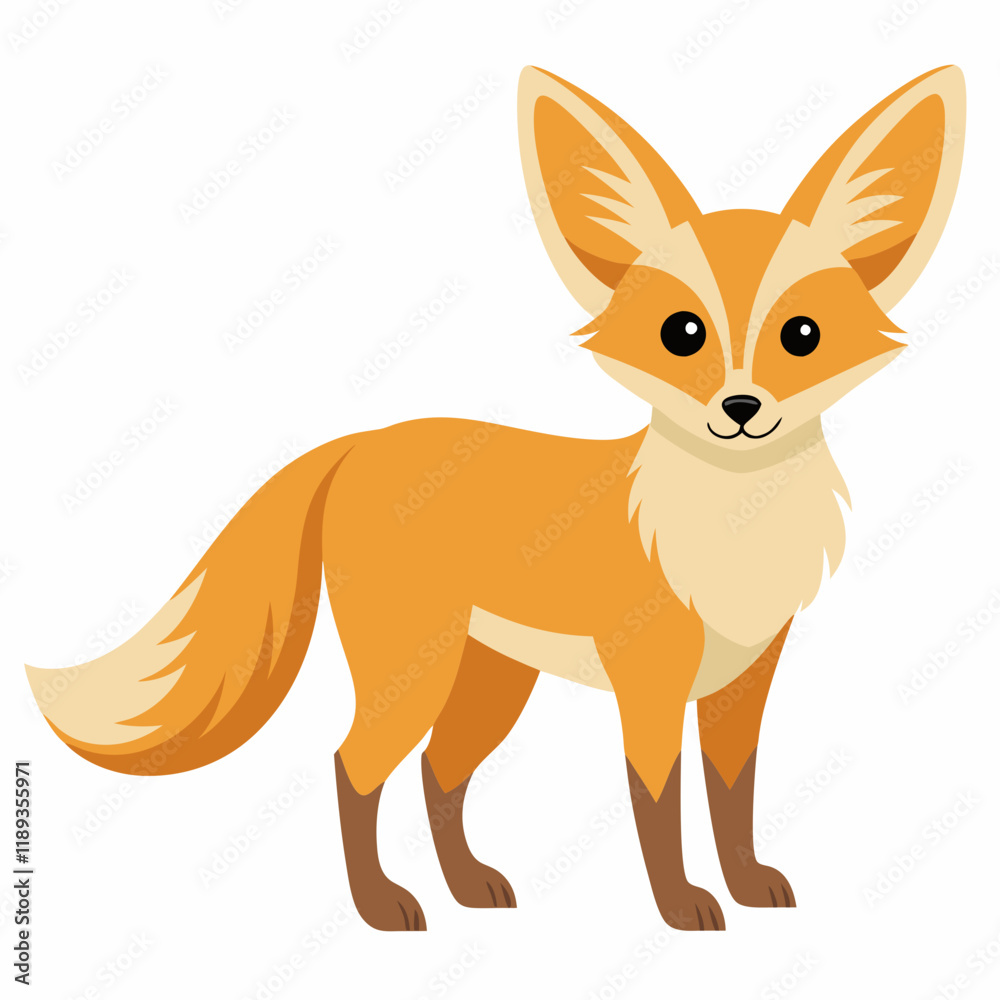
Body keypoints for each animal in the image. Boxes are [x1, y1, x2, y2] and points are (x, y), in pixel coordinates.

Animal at [27, 65, 964, 932]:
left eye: (801, 336)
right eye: (682, 334)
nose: (740, 409)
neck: (732, 530)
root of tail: (362, 441)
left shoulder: (747, 676)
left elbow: (734, 798)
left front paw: (747, 887)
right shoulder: (650, 682)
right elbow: (657, 805)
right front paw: (680, 908)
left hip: (488, 679)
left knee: (438, 771)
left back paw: (469, 889)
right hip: (417, 668)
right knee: (353, 764)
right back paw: (381, 906)